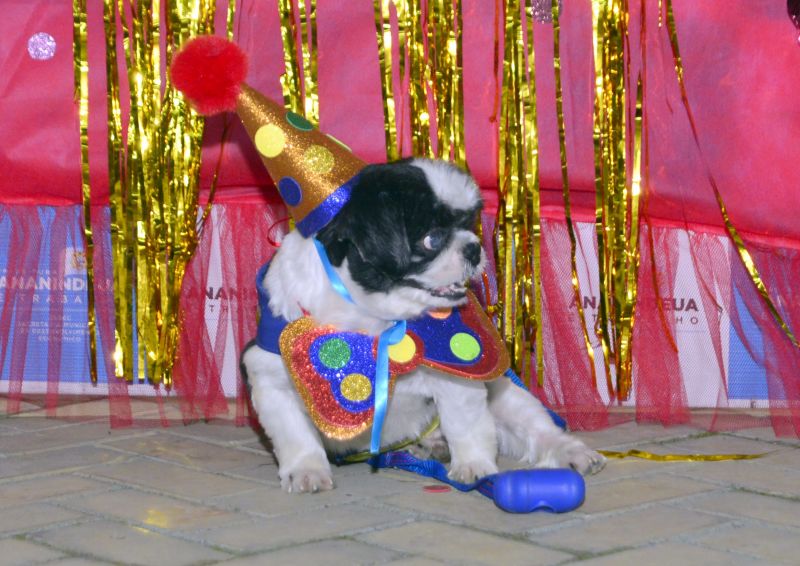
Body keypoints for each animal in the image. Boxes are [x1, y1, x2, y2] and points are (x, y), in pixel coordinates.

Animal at [241, 159, 604, 492]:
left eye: (470, 225)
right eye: (432, 239)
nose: (474, 248)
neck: (374, 319)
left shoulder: (459, 371)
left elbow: (466, 424)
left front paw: (474, 465)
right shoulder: (273, 379)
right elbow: (295, 434)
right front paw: (307, 470)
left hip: (506, 396)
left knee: (538, 429)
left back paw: (570, 452)